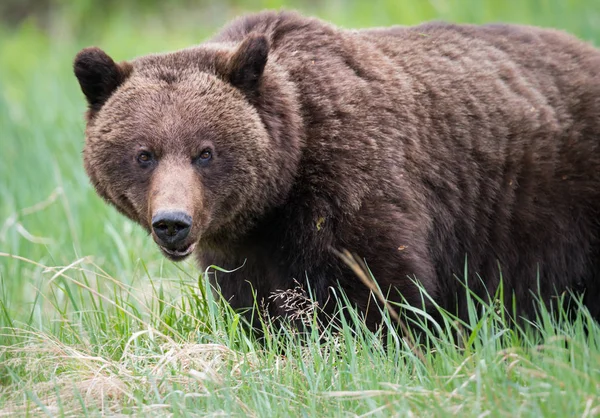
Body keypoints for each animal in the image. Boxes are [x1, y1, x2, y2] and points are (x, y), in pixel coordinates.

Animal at [74, 9, 600, 330]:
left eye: (205, 152)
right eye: (144, 154)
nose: (173, 223)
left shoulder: (350, 185)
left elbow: (382, 291)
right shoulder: (241, 247)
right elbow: (252, 307)